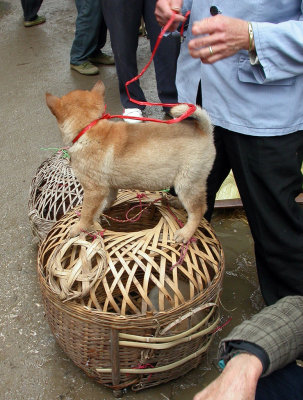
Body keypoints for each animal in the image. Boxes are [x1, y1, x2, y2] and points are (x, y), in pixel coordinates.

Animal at [45, 80, 216, 244]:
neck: (89, 128)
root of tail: (204, 130)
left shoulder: (94, 190)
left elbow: (87, 212)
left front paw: (79, 227)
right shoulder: (108, 187)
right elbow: (105, 202)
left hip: (187, 183)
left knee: (199, 210)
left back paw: (186, 233)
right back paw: (176, 203)